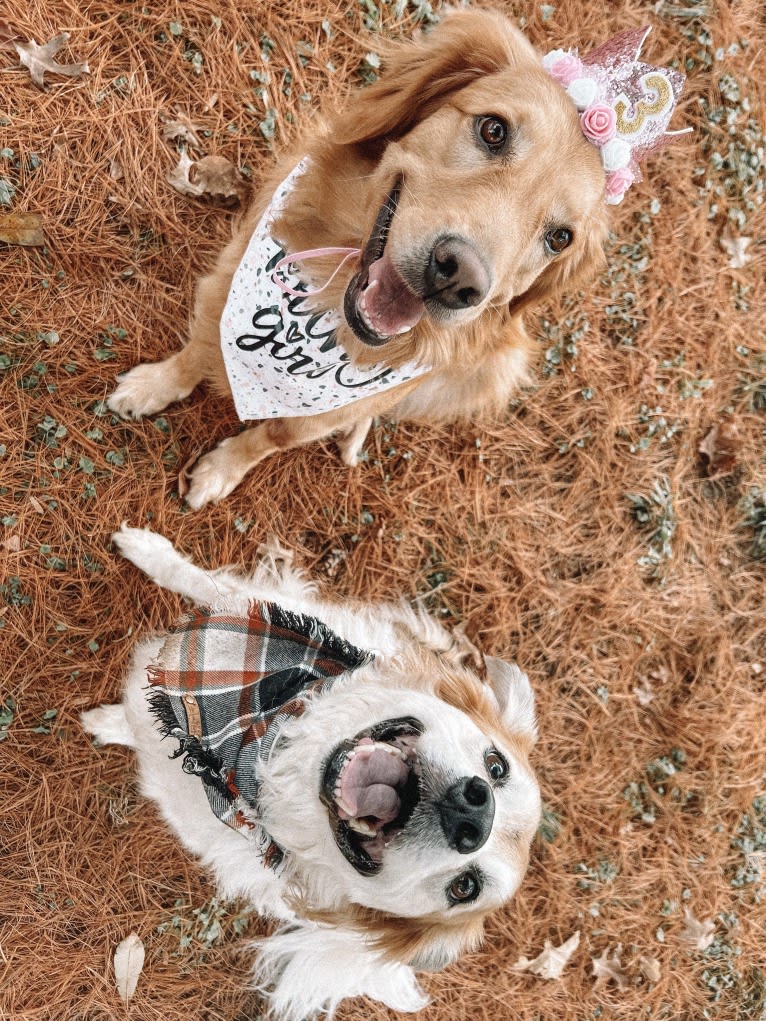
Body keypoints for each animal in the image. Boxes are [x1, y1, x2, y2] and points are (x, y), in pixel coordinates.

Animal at [82, 530, 539, 1016]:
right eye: (497, 765)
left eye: (464, 888)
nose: (474, 814)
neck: (264, 749)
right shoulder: (254, 608)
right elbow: (197, 579)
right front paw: (144, 549)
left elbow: (140, 727)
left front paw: (109, 723)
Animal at [109, 5, 612, 504]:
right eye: (493, 129)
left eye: (560, 238)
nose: (459, 279)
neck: (328, 309)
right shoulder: (226, 286)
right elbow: (196, 352)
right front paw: (154, 386)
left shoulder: (322, 410)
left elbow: (273, 436)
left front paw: (221, 471)